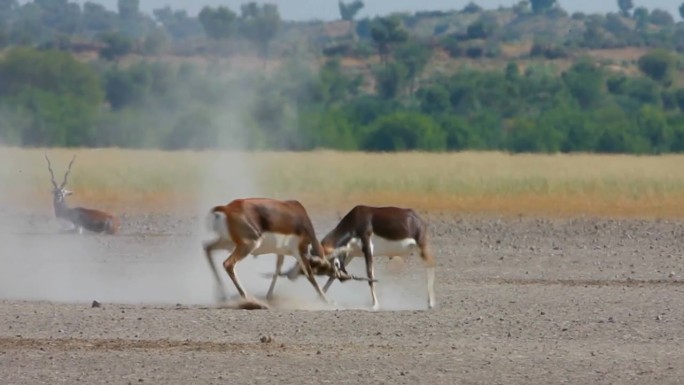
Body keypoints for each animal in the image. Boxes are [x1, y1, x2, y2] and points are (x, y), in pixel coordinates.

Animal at [284, 204, 436, 308]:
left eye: (315, 262)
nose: (291, 274)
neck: (355, 221)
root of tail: (418, 219)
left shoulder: (367, 247)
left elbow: (370, 275)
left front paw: (375, 305)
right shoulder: (349, 254)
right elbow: (334, 276)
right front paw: (319, 300)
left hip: (422, 247)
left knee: (430, 267)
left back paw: (430, 303)